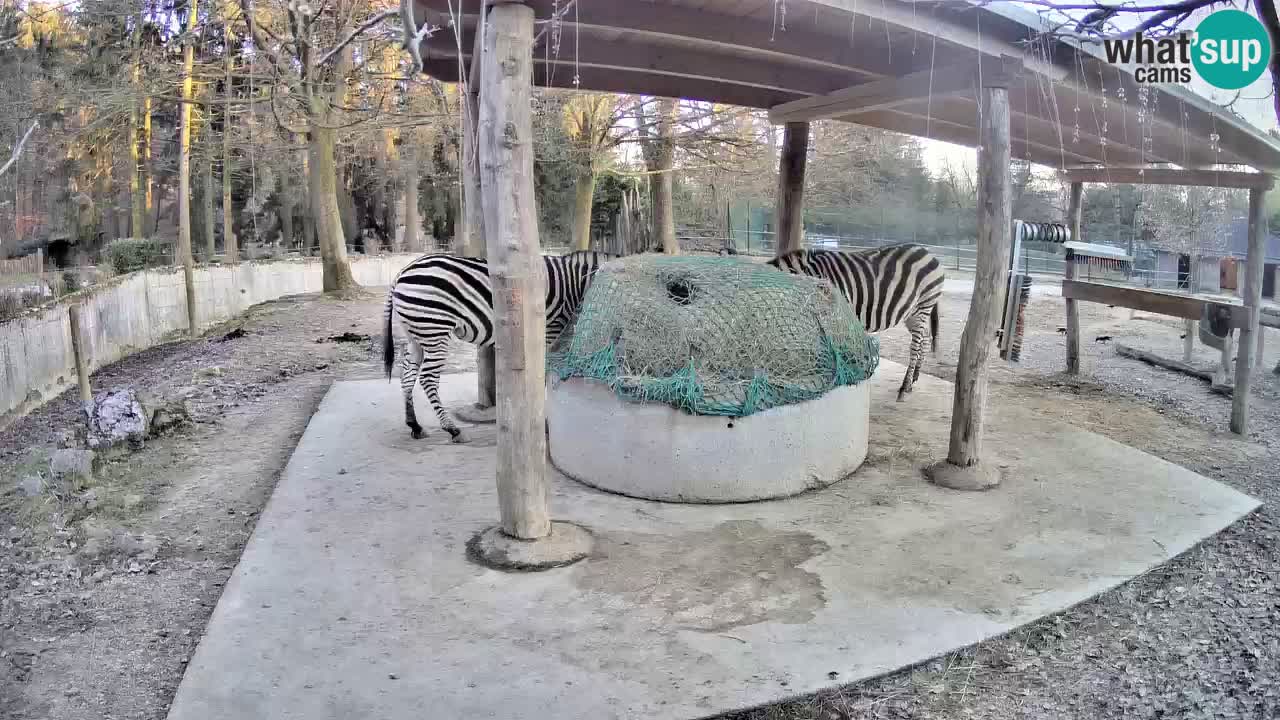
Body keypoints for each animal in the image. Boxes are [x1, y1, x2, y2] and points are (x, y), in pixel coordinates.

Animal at [378, 248, 619, 438]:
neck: (573, 284)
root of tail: (401, 273)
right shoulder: (548, 331)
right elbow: (541, 375)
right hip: (434, 329)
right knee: (427, 378)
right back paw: (451, 429)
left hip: (415, 334)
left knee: (407, 376)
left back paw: (415, 426)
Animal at [762, 240, 947, 397]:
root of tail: (927, 252)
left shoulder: (836, 315)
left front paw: (842, 374)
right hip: (911, 312)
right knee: (925, 337)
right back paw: (914, 378)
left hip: (924, 304)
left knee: (915, 346)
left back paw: (904, 387)